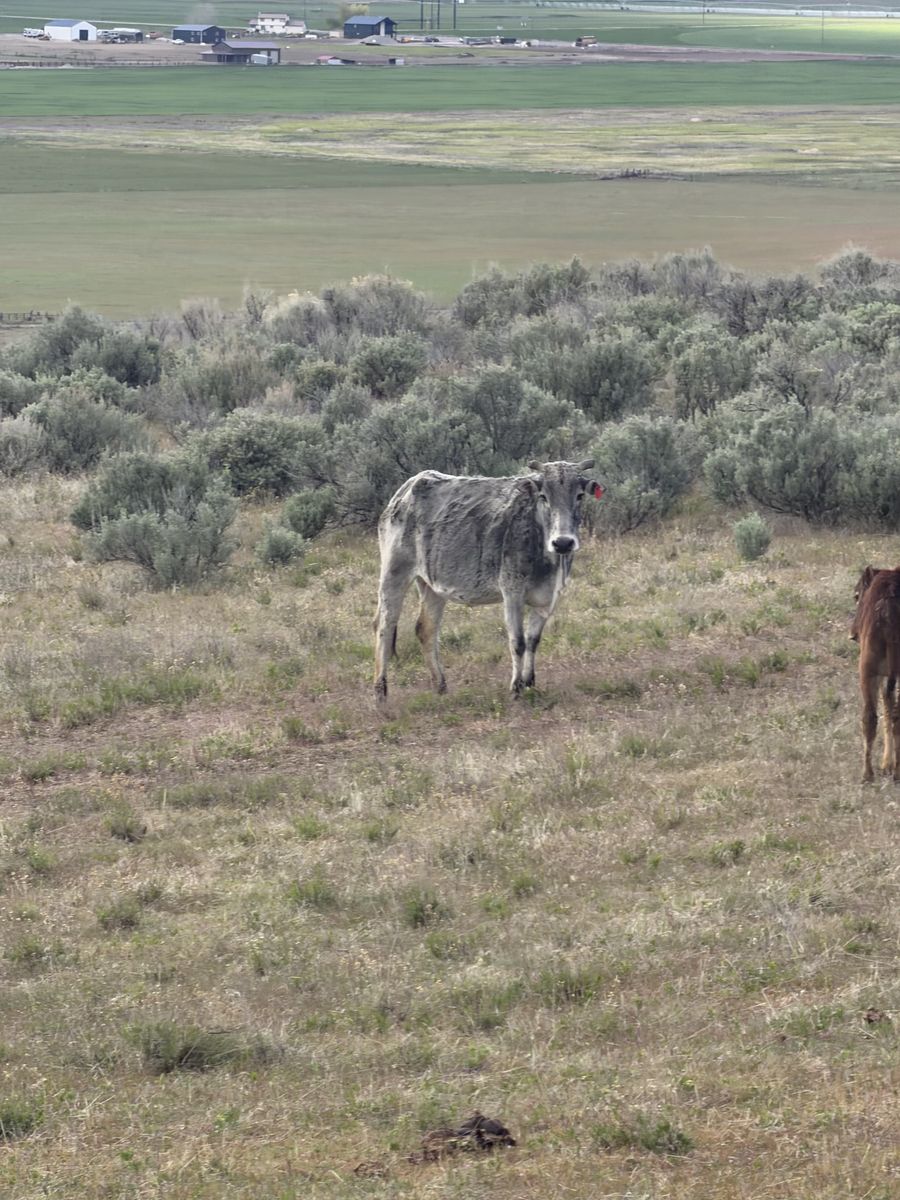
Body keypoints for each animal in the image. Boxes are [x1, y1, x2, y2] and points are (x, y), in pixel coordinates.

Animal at [373, 459, 601, 704]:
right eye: (543, 496)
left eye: (579, 495)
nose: (563, 542)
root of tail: (408, 487)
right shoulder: (512, 591)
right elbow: (518, 642)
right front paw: (516, 688)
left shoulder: (548, 598)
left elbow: (533, 640)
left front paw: (530, 683)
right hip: (394, 572)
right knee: (384, 626)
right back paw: (380, 692)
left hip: (432, 585)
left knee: (426, 629)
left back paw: (441, 686)